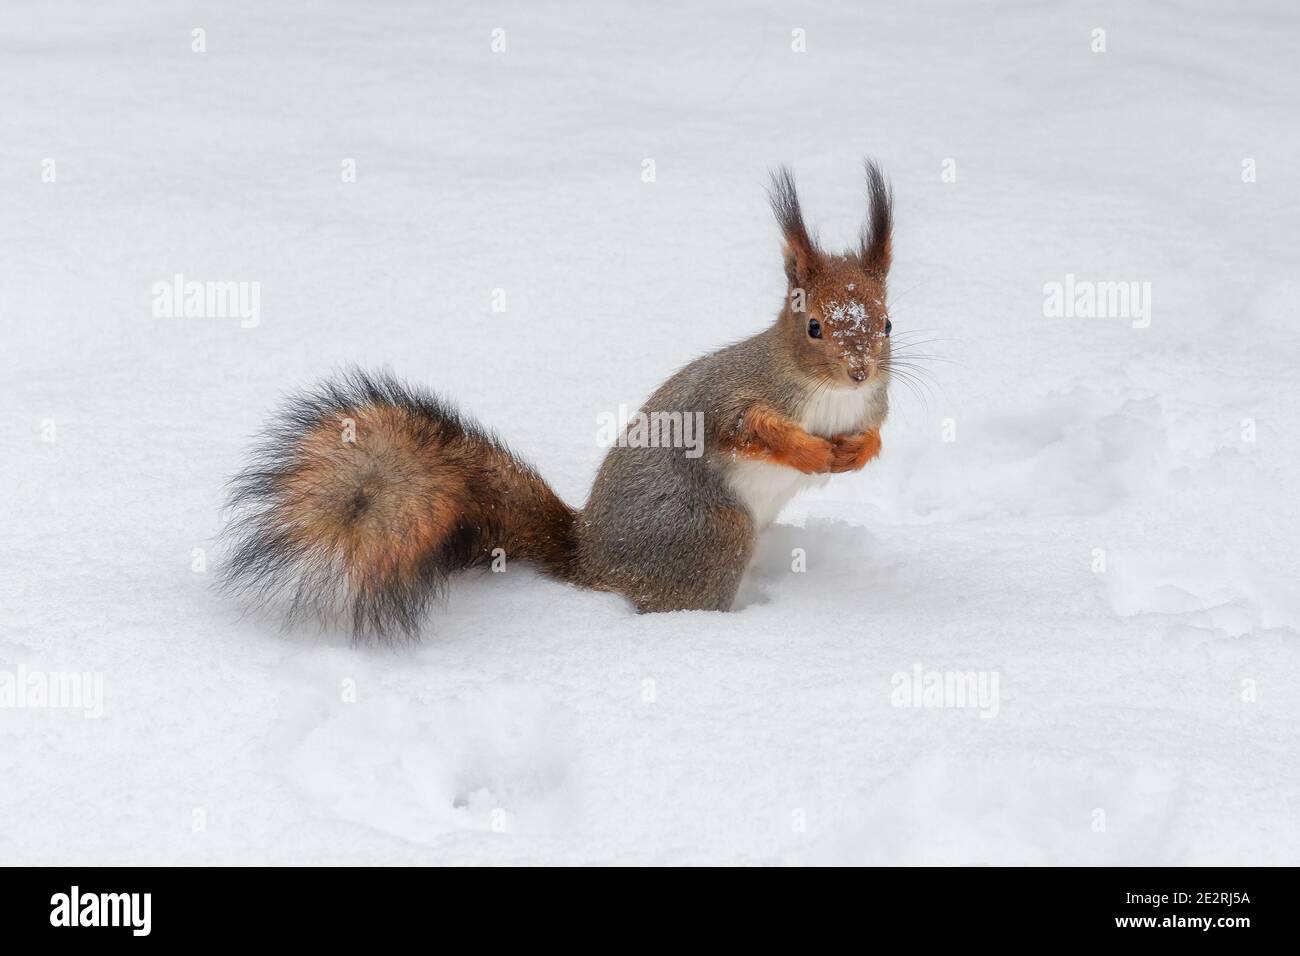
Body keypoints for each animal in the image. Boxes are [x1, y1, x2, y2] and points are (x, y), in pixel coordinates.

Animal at [221, 160, 895, 640]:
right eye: (814, 327)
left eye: (887, 323)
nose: (860, 371)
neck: (827, 395)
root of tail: (588, 559)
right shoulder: (732, 395)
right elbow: (747, 429)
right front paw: (810, 453)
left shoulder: (872, 404)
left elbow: (877, 431)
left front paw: (858, 451)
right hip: (712, 533)